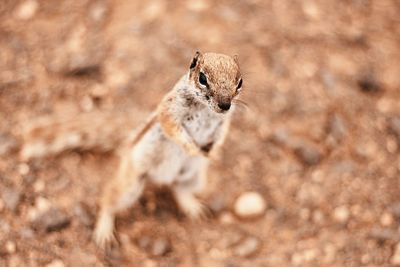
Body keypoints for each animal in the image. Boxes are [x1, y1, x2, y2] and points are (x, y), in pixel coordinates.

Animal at [94, 51, 244, 248]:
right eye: (202, 78)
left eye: (240, 81)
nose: (225, 105)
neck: (206, 109)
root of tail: (162, 179)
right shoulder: (170, 111)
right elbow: (173, 128)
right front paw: (194, 149)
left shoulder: (225, 122)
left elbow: (222, 133)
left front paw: (214, 152)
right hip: (130, 183)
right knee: (108, 199)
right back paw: (104, 230)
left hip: (194, 178)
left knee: (180, 189)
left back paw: (193, 207)